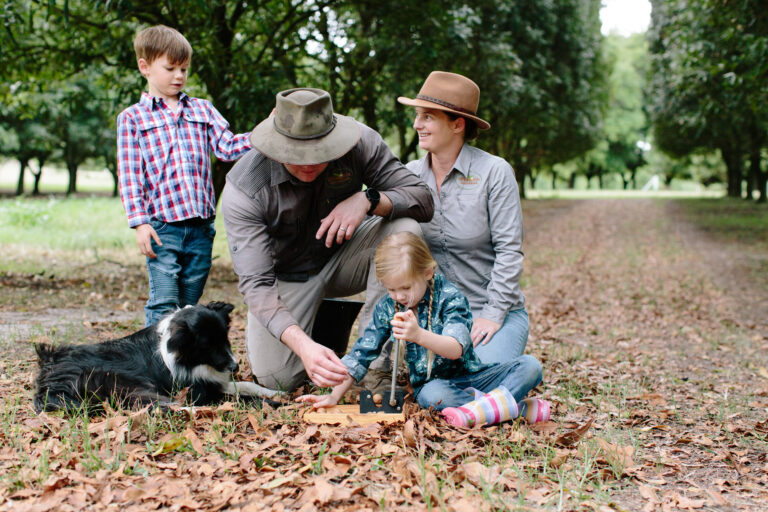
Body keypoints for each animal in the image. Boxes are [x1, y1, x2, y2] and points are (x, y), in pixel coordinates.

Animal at [33, 302, 282, 414]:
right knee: (163, 406)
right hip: (124, 384)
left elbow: (246, 385)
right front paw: (271, 402)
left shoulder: (210, 380)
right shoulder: (195, 390)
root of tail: (49, 371)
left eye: (225, 338)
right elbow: (238, 396)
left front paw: (273, 392)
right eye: (206, 345)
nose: (235, 366)